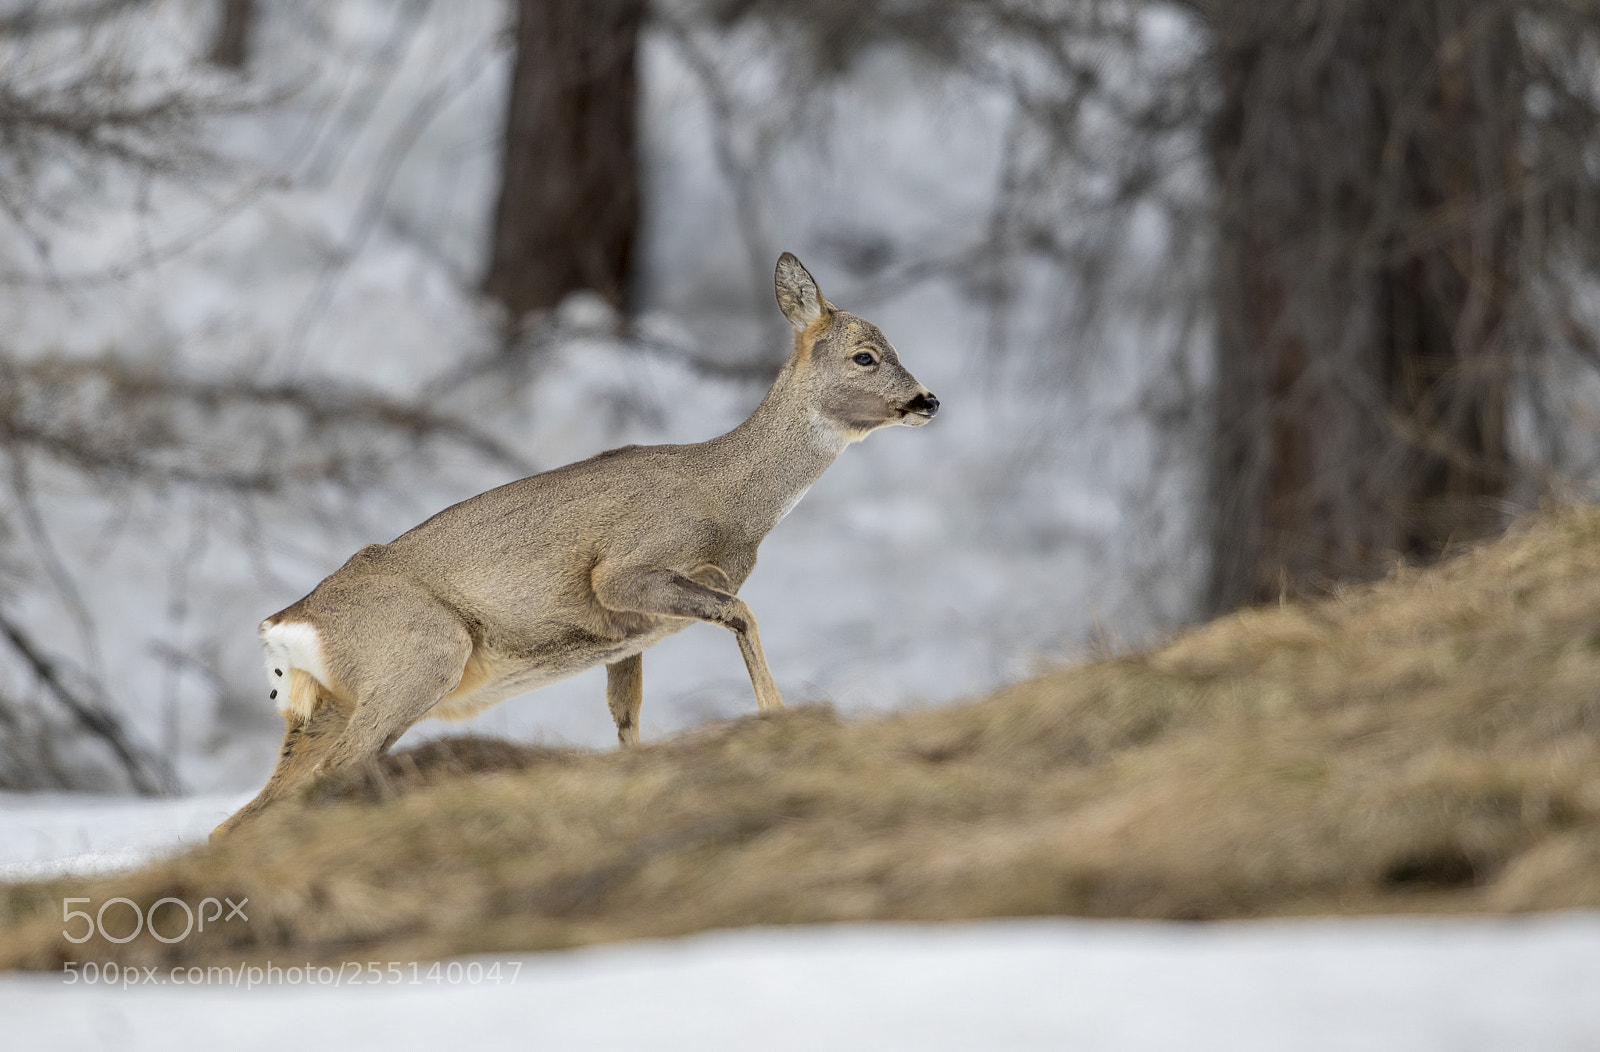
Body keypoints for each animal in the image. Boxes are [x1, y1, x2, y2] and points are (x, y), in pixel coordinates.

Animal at [212, 253, 938, 839]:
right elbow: (741, 612)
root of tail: (286, 625)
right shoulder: (624, 570)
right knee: (329, 778)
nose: (929, 400)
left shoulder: (630, 635)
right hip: (420, 657)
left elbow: (626, 718)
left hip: (323, 710)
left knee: (242, 818)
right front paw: (779, 717)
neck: (727, 501)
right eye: (865, 355)